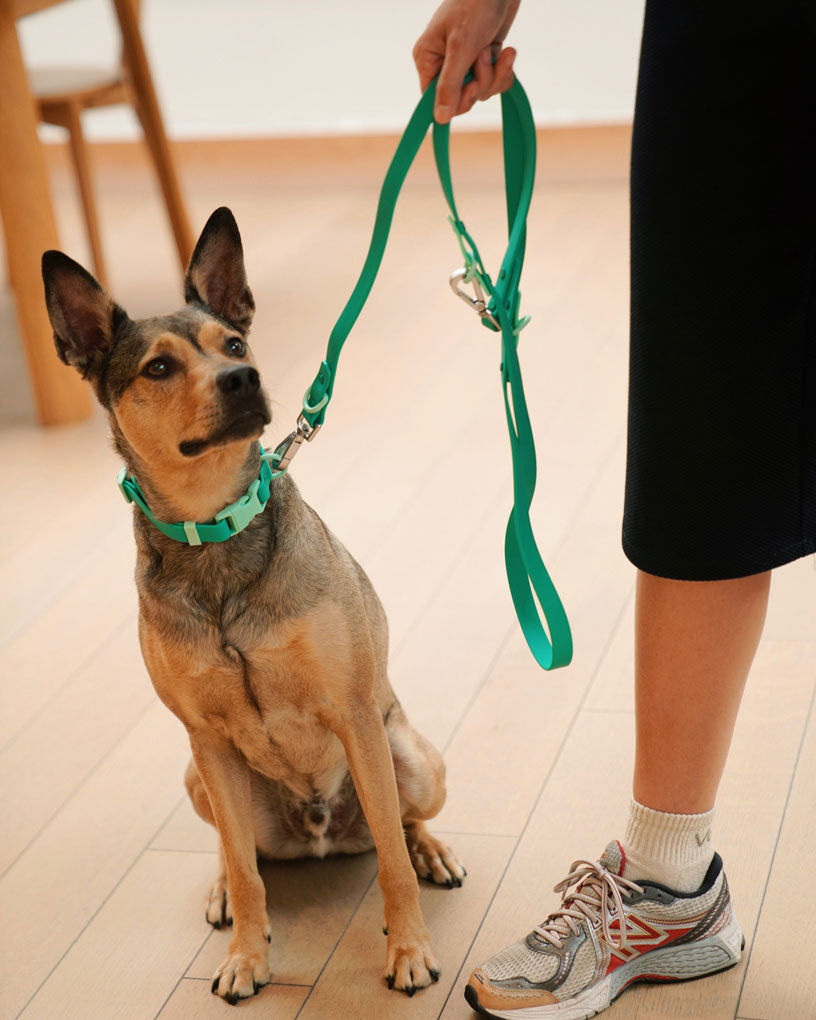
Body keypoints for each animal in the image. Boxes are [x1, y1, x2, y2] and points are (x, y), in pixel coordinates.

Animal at [43, 205, 465, 1003]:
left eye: (234, 344)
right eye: (158, 367)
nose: (244, 377)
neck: (214, 533)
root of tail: (320, 829)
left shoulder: (354, 715)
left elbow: (392, 864)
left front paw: (409, 951)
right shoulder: (206, 741)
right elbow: (244, 869)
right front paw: (245, 956)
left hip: (410, 759)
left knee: (399, 826)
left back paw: (433, 852)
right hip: (198, 779)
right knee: (237, 850)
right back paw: (220, 894)